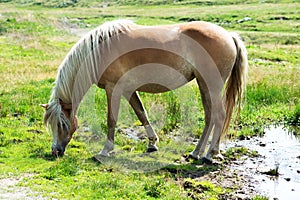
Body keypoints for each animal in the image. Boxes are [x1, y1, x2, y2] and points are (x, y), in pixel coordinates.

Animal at [41, 19, 248, 162]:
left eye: (62, 124)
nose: (55, 151)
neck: (99, 50)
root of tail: (229, 35)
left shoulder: (113, 88)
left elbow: (111, 119)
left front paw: (105, 150)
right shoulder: (128, 90)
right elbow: (141, 113)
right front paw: (152, 144)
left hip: (210, 84)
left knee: (219, 116)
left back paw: (210, 154)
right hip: (204, 84)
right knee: (210, 116)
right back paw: (196, 152)